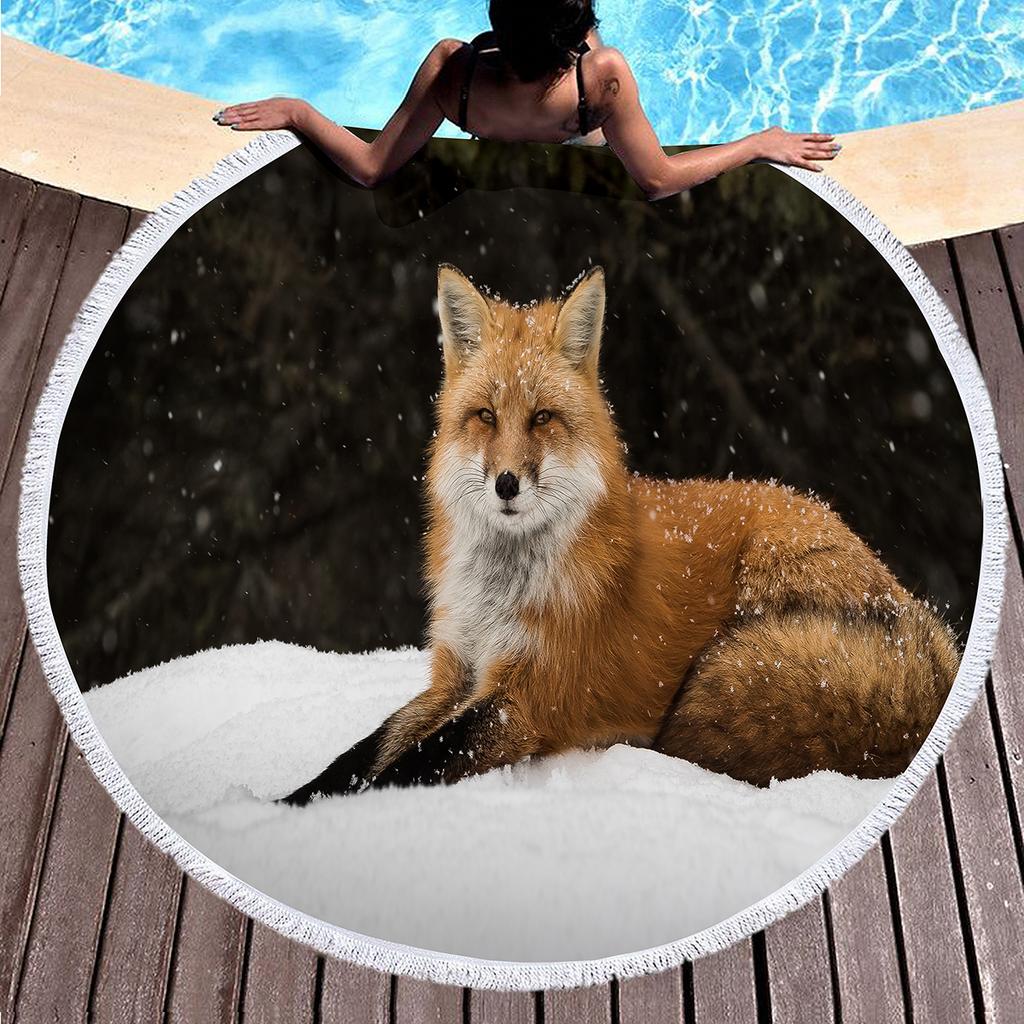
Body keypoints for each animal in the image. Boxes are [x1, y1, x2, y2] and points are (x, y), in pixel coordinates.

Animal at [282, 264, 959, 804]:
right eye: (486, 417)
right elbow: (367, 750)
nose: (506, 484)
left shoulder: (528, 698)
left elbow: (417, 762)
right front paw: (288, 801)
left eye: (542, 419)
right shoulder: (454, 674)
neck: (501, 591)